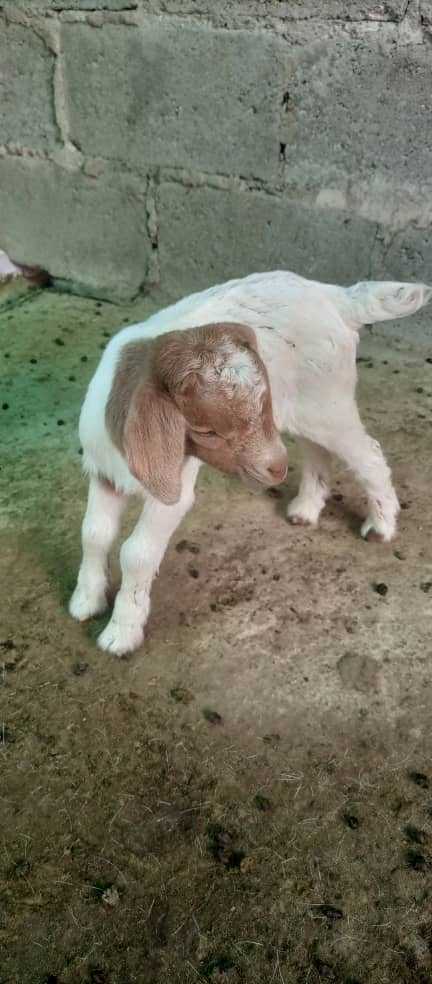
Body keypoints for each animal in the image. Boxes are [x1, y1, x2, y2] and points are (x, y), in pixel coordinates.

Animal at [70, 270, 432, 656]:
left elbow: (136, 553)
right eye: (206, 431)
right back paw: (306, 509)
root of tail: (335, 296)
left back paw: (381, 525)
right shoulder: (103, 472)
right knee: (316, 450)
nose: (277, 470)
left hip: (329, 402)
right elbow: (94, 533)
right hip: (306, 407)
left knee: (368, 453)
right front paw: (86, 601)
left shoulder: (173, 493)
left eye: (262, 405)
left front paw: (121, 633)